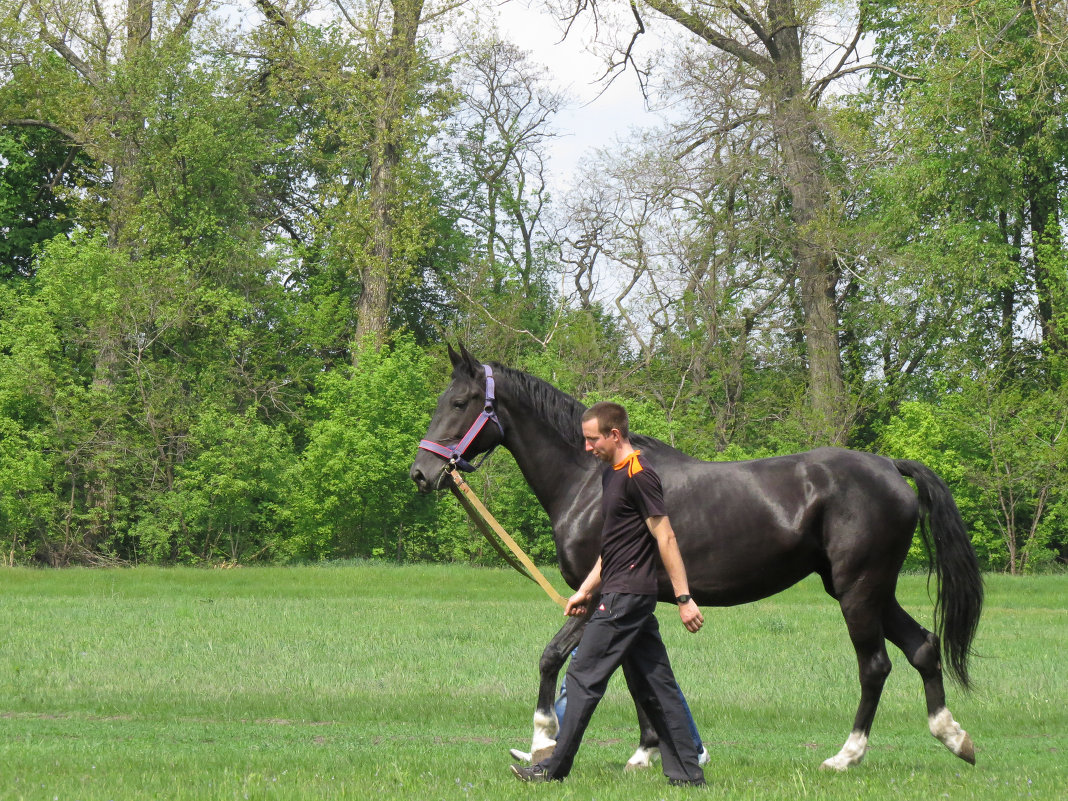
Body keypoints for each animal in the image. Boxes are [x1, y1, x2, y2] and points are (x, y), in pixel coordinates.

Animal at [410, 348, 982, 773]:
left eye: (460, 402)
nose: (421, 472)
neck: (591, 482)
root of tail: (889, 466)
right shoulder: (633, 601)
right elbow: (636, 676)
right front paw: (645, 752)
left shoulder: (599, 597)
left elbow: (556, 658)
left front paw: (544, 741)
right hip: (869, 588)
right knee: (923, 647)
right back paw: (954, 738)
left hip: (858, 588)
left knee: (875, 665)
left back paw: (846, 755)